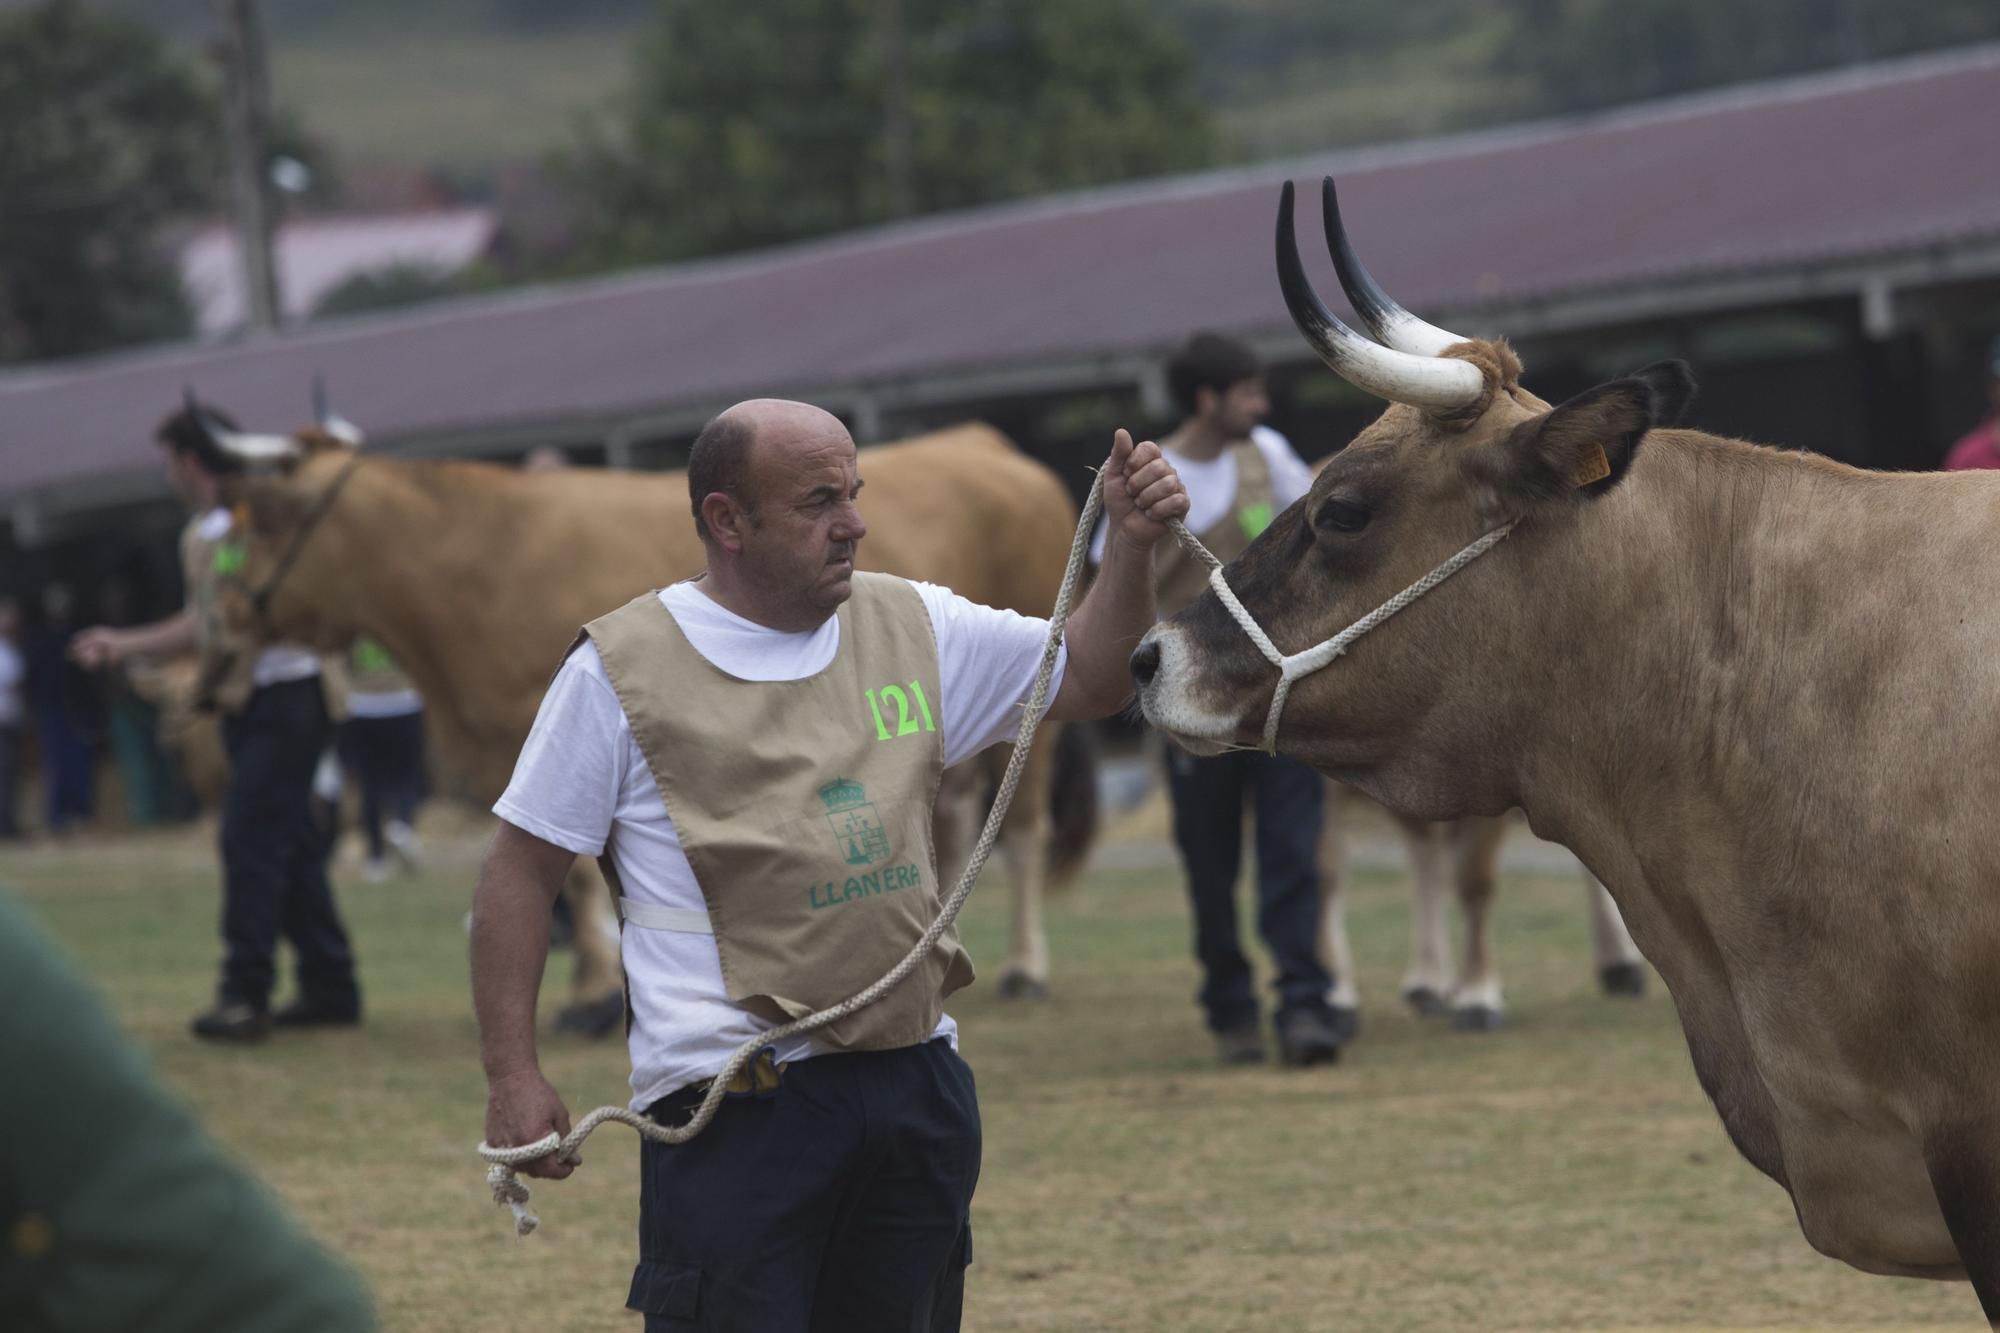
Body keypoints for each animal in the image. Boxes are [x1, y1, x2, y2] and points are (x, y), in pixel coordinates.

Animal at [207, 420, 1096, 1020]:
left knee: (1021, 830)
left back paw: (1025, 967)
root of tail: (983, 443)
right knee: (951, 822)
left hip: (1038, 712)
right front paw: (594, 985)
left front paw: (595, 995)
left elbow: (574, 874)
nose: (225, 623)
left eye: (261, 520)